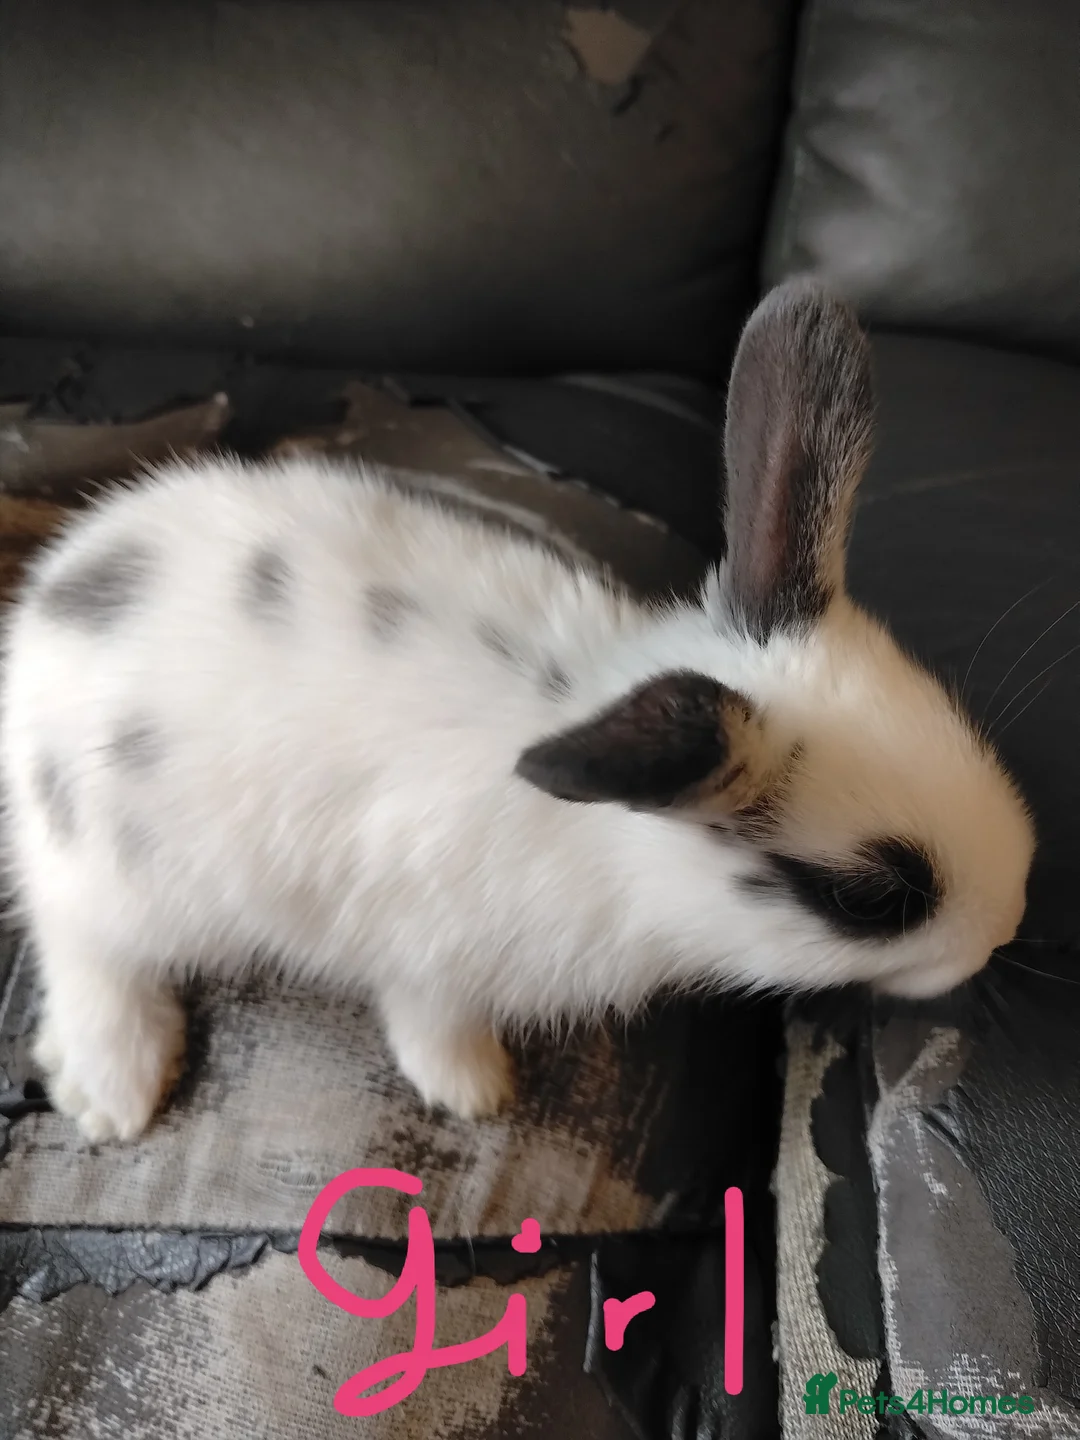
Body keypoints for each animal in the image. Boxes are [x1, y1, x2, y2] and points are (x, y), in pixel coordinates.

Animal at [0, 280, 1034, 1144]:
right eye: (869, 899)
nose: (1007, 927)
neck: (620, 854)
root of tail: (47, 607)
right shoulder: (429, 958)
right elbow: (429, 1025)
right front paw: (475, 1093)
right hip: (118, 877)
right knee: (82, 948)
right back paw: (114, 1094)